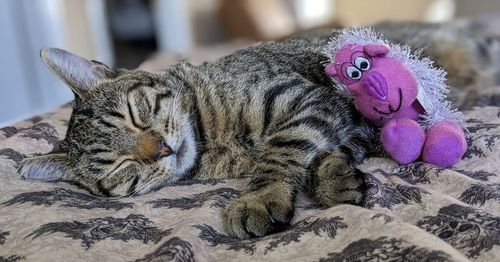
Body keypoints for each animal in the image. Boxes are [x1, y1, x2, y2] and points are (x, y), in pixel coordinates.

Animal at [17, 22, 498, 239]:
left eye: (136, 114)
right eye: (121, 168)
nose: (161, 150)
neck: (212, 140)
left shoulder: (306, 100)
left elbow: (282, 149)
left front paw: (260, 198)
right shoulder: (339, 117)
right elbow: (326, 152)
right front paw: (335, 179)